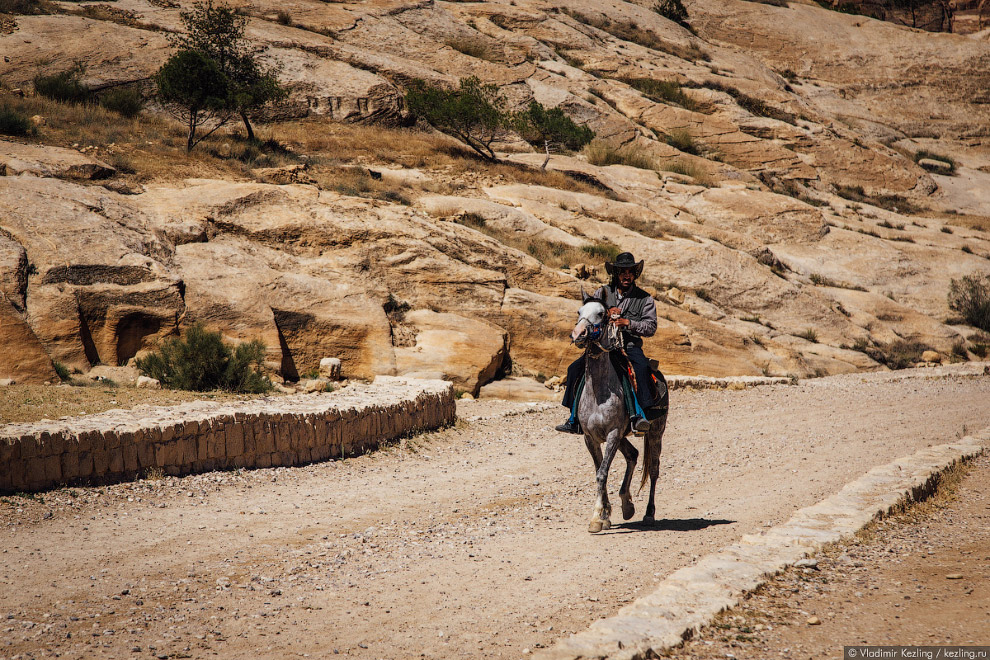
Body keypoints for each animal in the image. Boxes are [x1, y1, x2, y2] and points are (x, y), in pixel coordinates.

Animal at [568, 294, 672, 536]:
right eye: (579, 312)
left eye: (601, 314)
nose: (578, 334)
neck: (598, 391)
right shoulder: (591, 437)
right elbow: (599, 471)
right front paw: (604, 516)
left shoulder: (613, 433)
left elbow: (602, 473)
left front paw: (597, 517)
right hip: (624, 436)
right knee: (633, 455)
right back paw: (627, 505)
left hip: (656, 433)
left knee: (654, 470)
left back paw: (649, 514)